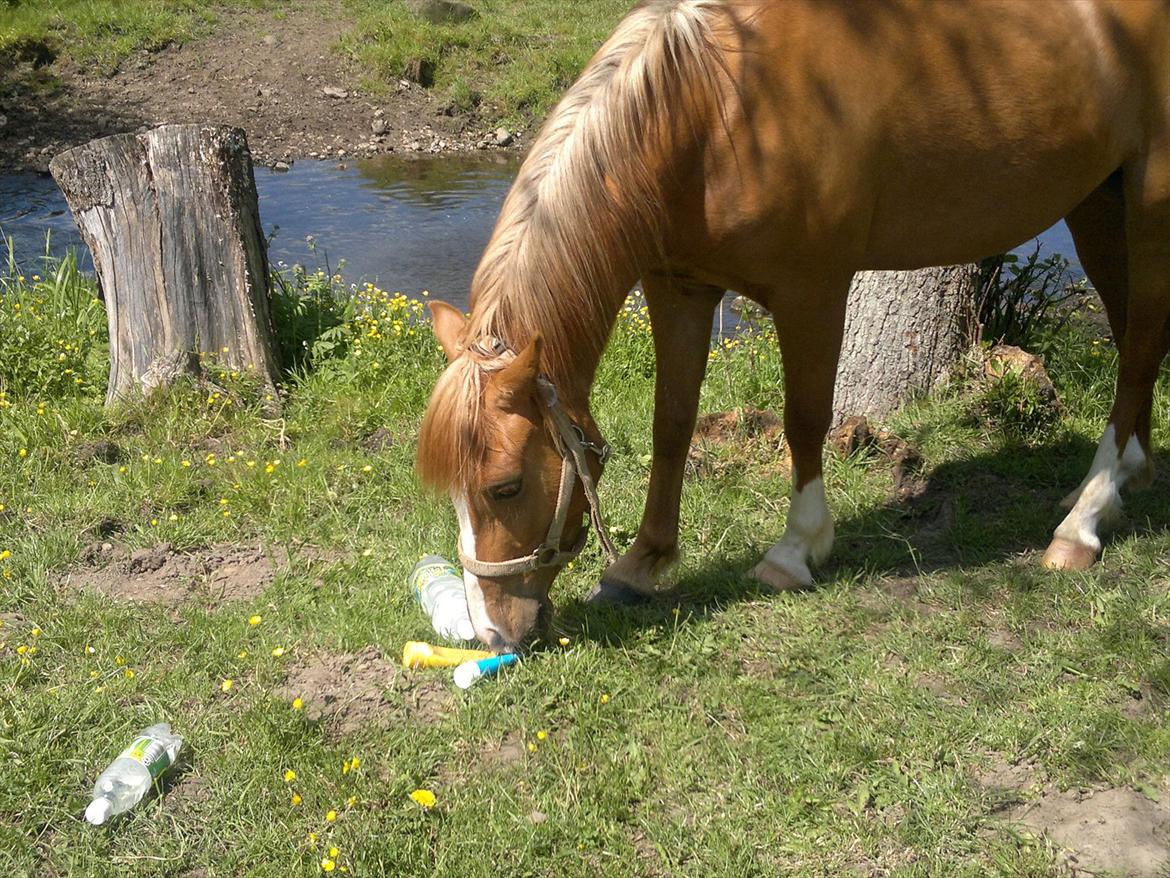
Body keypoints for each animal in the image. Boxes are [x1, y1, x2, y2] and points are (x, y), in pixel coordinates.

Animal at [418, 0, 1170, 650]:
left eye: (505, 486)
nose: (494, 634)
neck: (713, 108)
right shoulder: (679, 286)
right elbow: (672, 423)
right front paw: (641, 564)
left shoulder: (813, 289)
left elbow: (805, 418)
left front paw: (794, 549)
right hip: (1096, 203)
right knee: (1134, 334)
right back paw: (1125, 477)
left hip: (1149, 199)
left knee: (1138, 346)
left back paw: (1084, 521)